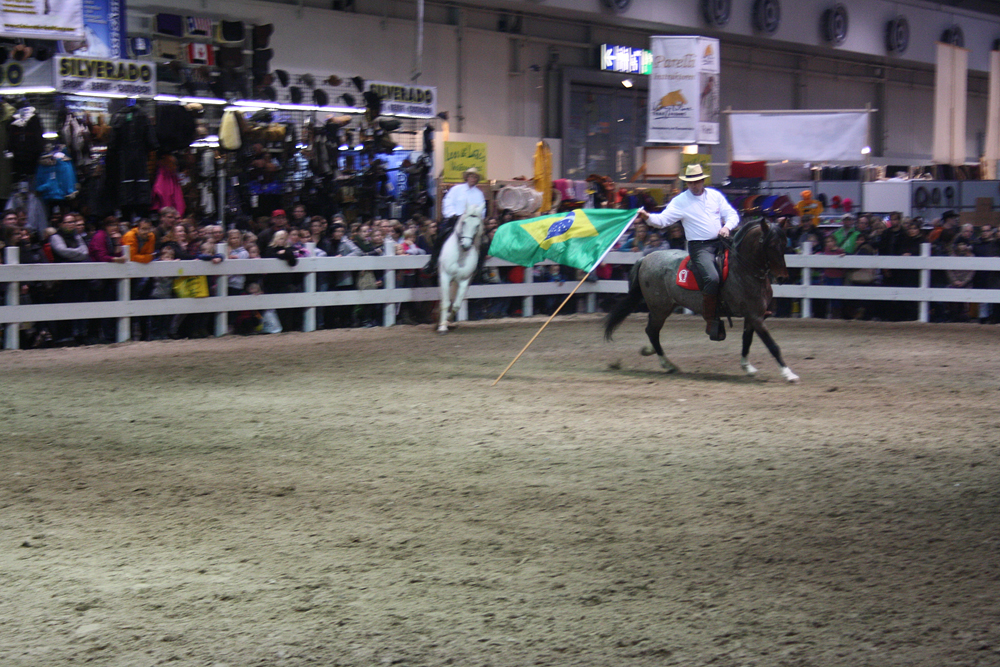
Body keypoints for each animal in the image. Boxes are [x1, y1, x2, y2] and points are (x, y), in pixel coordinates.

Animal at [437, 202, 484, 333]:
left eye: (477, 225)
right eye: (464, 222)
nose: (466, 245)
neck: (461, 256)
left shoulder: (464, 280)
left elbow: (456, 305)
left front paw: (447, 320)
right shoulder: (445, 276)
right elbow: (446, 302)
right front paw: (442, 327)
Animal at [604, 218, 800, 382]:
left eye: (784, 244)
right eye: (771, 244)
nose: (782, 277)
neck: (744, 271)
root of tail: (646, 258)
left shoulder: (753, 317)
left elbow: (747, 340)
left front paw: (748, 367)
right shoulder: (755, 317)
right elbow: (772, 345)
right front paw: (788, 373)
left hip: (664, 307)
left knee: (652, 332)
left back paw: (654, 354)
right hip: (660, 309)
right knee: (652, 331)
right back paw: (667, 364)